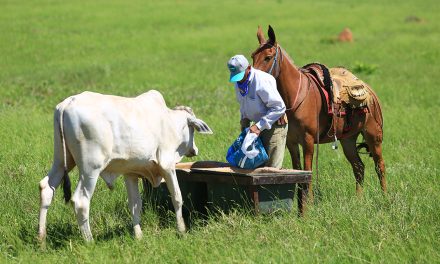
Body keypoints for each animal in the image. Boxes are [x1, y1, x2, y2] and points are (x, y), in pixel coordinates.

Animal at [37, 90, 212, 241]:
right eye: (192, 130)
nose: (195, 150)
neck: (169, 122)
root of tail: (68, 103)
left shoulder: (131, 174)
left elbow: (135, 205)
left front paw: (138, 236)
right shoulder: (167, 165)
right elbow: (177, 197)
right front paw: (181, 230)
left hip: (61, 161)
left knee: (46, 188)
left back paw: (41, 240)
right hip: (90, 169)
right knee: (81, 201)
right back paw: (89, 241)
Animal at [251, 25, 384, 202]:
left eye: (268, 57)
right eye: (253, 56)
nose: (252, 80)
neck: (296, 95)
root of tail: (370, 92)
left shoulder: (308, 141)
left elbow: (308, 172)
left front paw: (309, 201)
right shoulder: (291, 142)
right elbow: (298, 171)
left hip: (373, 136)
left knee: (379, 166)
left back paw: (385, 196)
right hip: (348, 140)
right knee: (359, 167)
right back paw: (358, 199)